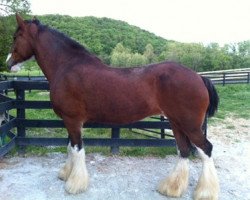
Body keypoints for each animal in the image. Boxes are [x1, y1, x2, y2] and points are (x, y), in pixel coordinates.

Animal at [6, 14, 219, 200]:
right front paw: (66, 174)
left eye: (16, 36)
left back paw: (205, 192)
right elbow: (70, 148)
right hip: (176, 123)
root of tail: (198, 77)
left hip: (190, 125)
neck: (67, 66)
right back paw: (171, 188)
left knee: (206, 149)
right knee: (183, 150)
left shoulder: (73, 120)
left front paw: (74, 184)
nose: (8, 63)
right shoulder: (70, 121)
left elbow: (77, 149)